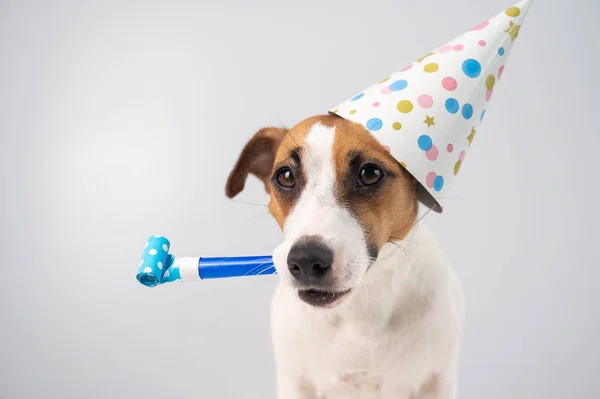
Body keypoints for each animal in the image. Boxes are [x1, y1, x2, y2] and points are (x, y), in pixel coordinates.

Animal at [225, 114, 464, 398]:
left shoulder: (438, 381)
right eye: (285, 176)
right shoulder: (295, 382)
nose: (306, 260)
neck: (361, 306)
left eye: (370, 173)